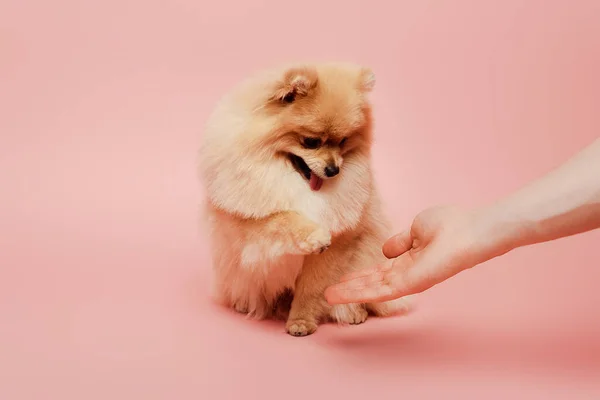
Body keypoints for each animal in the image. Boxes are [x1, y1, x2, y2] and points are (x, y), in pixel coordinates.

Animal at [199, 62, 410, 336]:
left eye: (343, 141)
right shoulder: (246, 220)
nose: (334, 170)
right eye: (311, 142)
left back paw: (354, 312)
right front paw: (314, 234)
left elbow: (312, 288)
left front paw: (301, 321)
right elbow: (281, 218)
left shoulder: (339, 244)